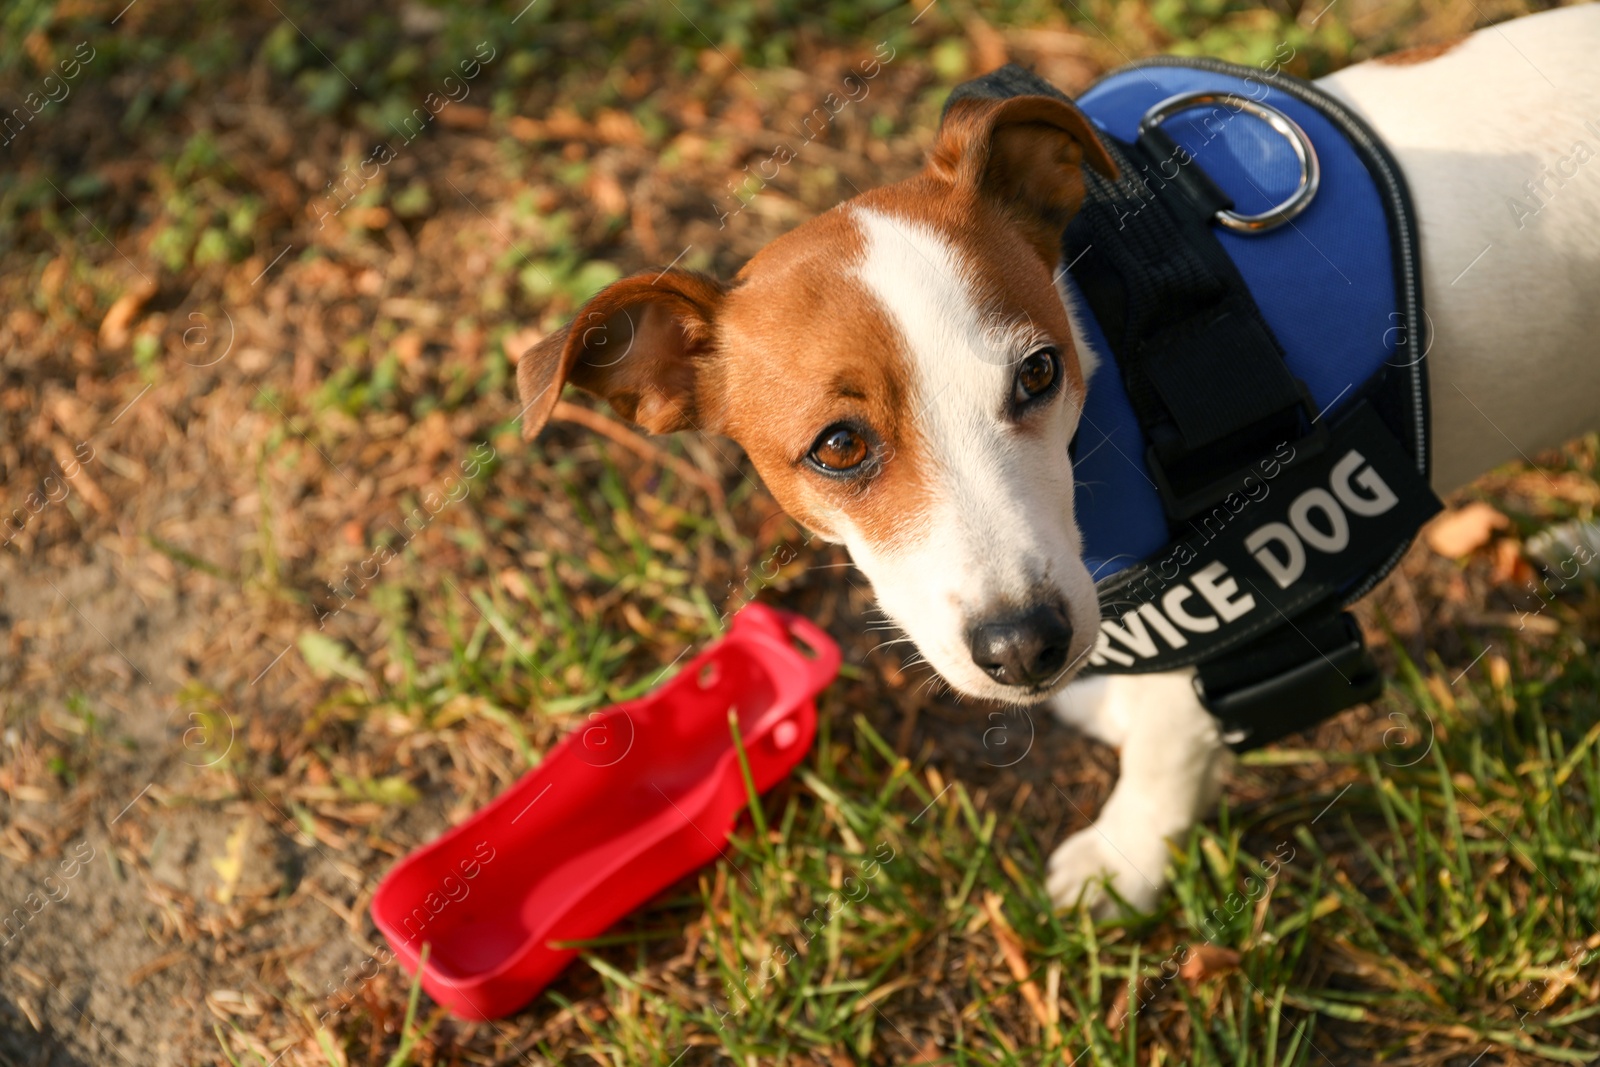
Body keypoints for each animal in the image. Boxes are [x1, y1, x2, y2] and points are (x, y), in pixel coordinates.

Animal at [518, 4, 1600, 915]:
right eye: (839, 446)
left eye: (1037, 373)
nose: (1023, 645)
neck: (1114, 347)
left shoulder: (1225, 586)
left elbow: (1170, 741)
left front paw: (1127, 857)